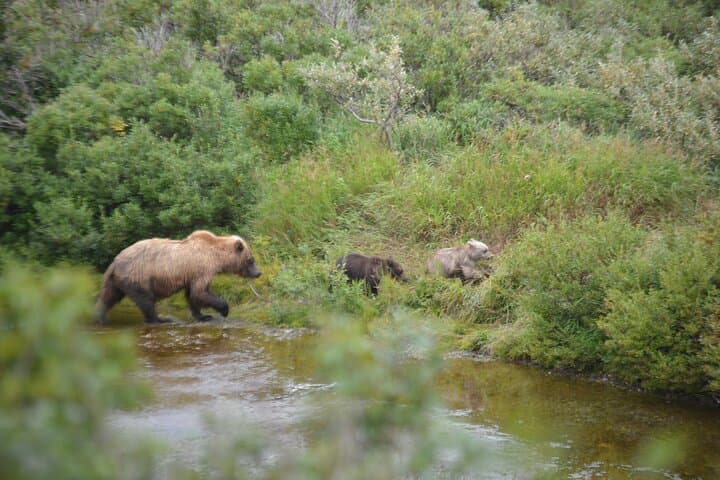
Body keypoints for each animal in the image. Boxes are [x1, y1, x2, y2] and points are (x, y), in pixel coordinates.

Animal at [95, 230, 261, 324]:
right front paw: (224, 309)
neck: (216, 256)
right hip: (138, 276)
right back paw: (159, 319)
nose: (258, 273)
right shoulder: (202, 268)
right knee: (146, 300)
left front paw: (202, 316)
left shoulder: (191, 274)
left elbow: (192, 295)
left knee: (109, 296)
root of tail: (115, 262)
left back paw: (101, 317)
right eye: (250, 259)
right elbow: (201, 292)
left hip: (116, 280)